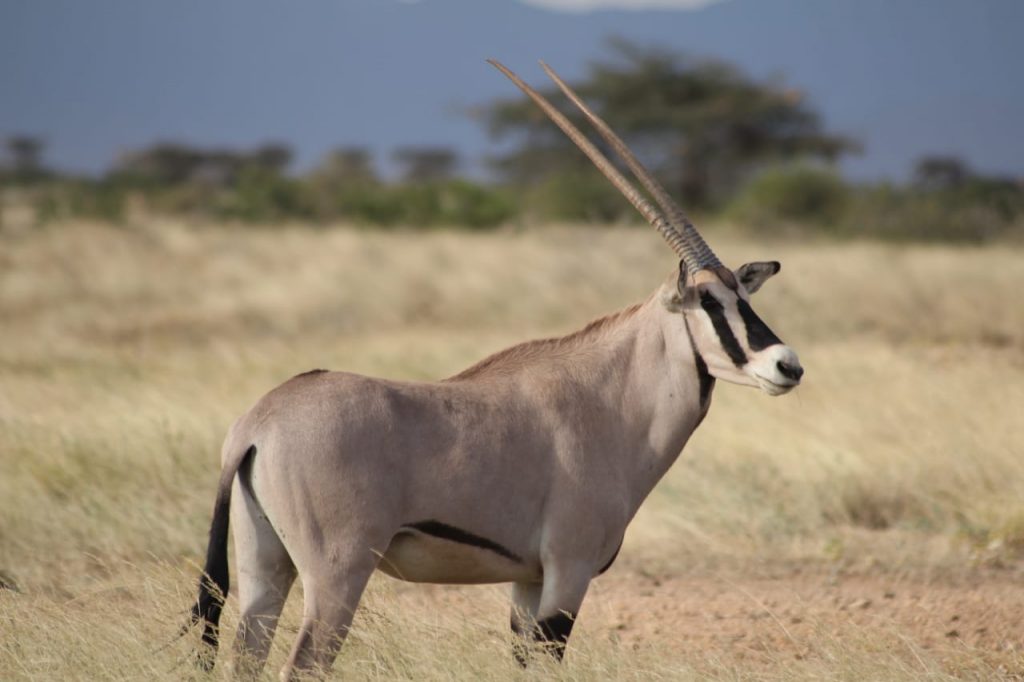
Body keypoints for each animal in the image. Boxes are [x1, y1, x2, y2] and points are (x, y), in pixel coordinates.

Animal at [188, 61, 802, 675]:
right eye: (709, 303)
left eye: (742, 294)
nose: (786, 365)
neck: (611, 400)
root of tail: (254, 426)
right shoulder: (568, 572)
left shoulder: (526, 583)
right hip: (336, 574)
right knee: (302, 663)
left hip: (265, 569)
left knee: (246, 656)